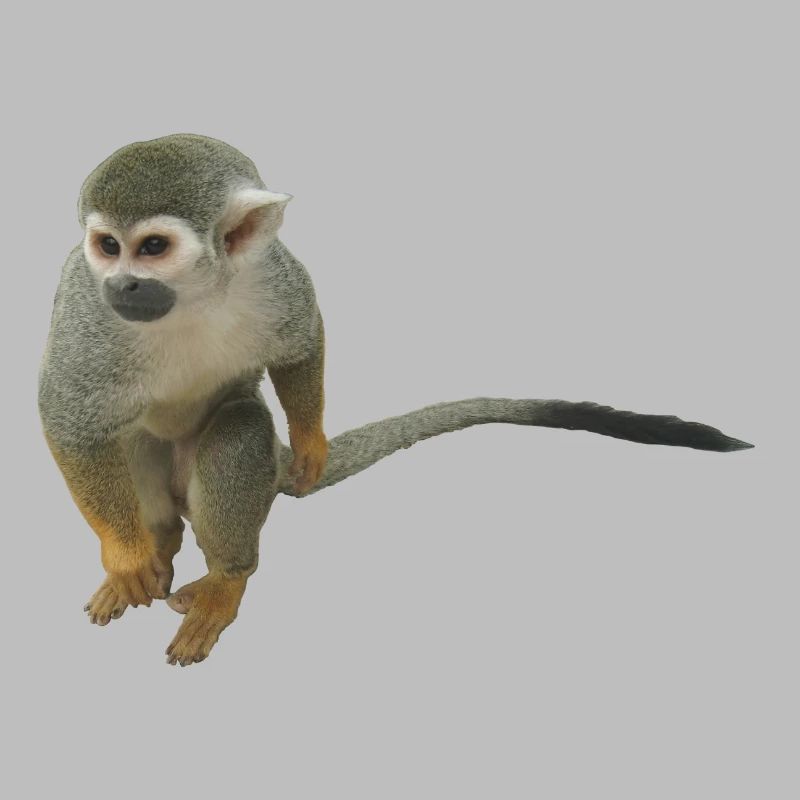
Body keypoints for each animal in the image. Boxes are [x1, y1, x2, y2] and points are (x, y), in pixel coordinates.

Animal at [38, 134, 752, 667]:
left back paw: (227, 578)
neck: (195, 298)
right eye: (108, 246)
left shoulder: (273, 275)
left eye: (153, 247)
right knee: (130, 442)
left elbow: (302, 342)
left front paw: (313, 444)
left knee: (239, 426)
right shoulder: (87, 309)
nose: (125, 285)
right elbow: (67, 417)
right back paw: (153, 547)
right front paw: (126, 556)